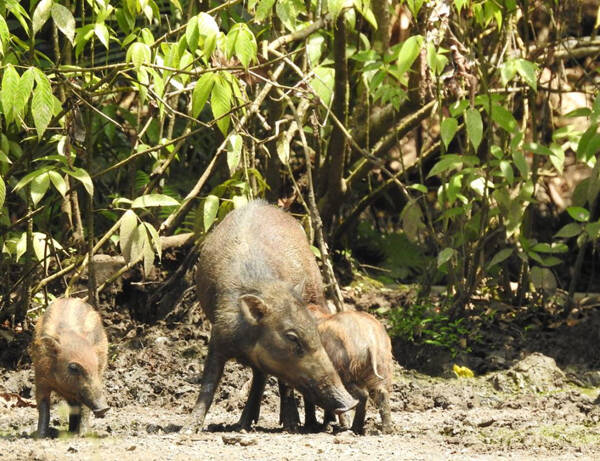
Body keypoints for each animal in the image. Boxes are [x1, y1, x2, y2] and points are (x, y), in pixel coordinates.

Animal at [29, 296, 109, 436]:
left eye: (95, 365)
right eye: (73, 367)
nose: (104, 408)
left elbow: (84, 408)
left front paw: (83, 435)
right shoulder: (40, 378)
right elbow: (43, 407)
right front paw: (39, 436)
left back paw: (74, 432)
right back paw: (70, 431)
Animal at [184, 200, 356, 432]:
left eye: (316, 334)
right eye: (292, 337)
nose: (351, 402)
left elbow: (285, 383)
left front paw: (292, 427)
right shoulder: (219, 336)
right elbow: (208, 384)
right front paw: (188, 429)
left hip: (318, 291)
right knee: (259, 376)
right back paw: (244, 424)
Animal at [304, 304, 394, 434]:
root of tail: (370, 342)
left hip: (345, 368)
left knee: (362, 394)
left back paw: (354, 428)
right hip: (382, 365)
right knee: (381, 392)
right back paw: (386, 430)